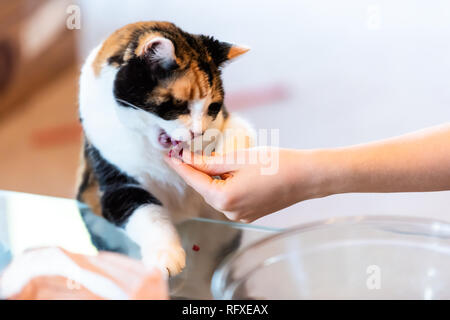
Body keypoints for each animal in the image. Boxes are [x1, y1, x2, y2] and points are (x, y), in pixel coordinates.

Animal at [75, 21, 255, 276]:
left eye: (213, 107)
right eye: (179, 104)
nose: (198, 132)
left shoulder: (229, 120)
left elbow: (239, 131)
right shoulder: (114, 185)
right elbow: (147, 214)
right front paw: (165, 256)